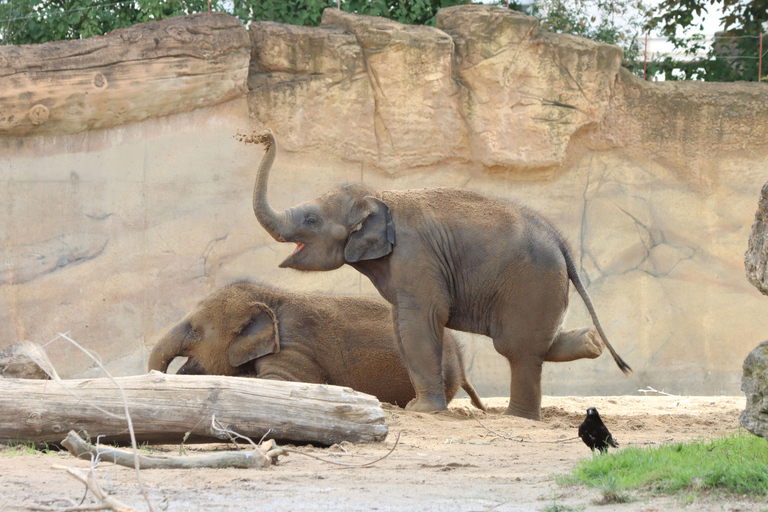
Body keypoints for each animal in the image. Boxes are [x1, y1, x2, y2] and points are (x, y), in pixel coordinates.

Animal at [250, 129, 632, 420]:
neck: (381, 194)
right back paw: (591, 341)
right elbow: (401, 325)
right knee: (535, 342)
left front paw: (422, 411)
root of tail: (561, 242)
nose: (263, 136)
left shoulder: (415, 257)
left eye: (312, 219)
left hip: (532, 282)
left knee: (517, 347)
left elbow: (421, 320)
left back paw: (518, 417)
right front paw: (417, 406)